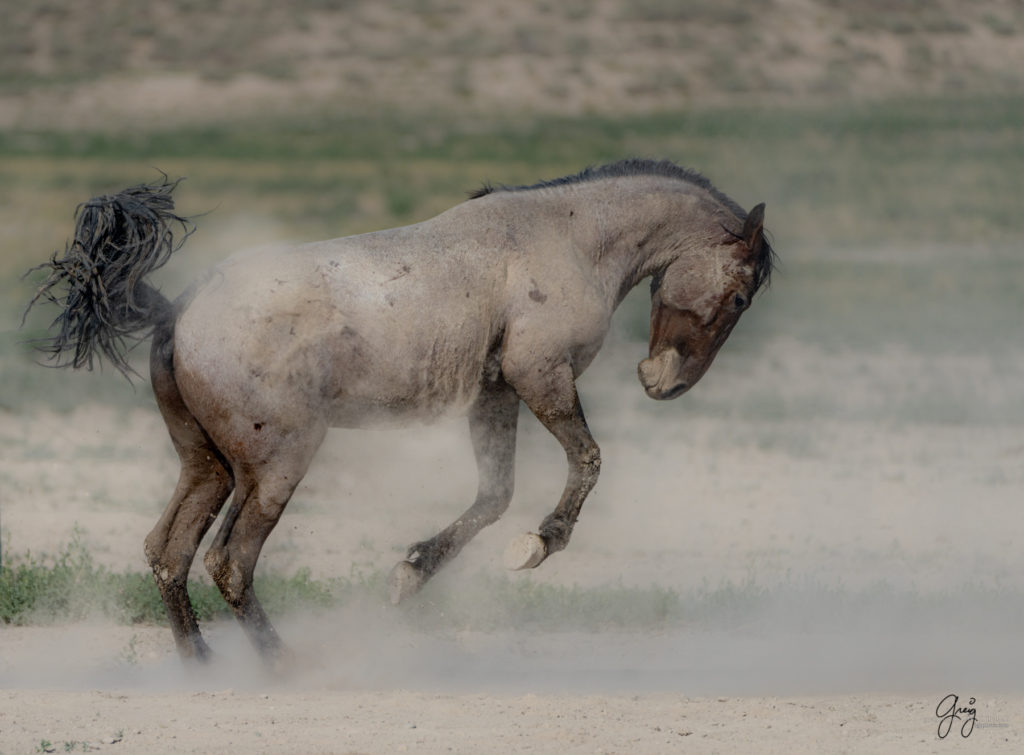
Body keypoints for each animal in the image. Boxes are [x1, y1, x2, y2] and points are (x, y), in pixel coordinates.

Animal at [24, 155, 774, 663]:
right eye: (740, 295)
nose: (664, 383)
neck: (569, 236)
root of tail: (178, 309)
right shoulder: (541, 377)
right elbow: (586, 461)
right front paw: (537, 545)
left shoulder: (496, 393)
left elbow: (494, 495)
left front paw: (410, 575)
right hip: (273, 469)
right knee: (230, 561)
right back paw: (281, 664)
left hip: (206, 466)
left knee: (168, 552)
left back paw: (203, 666)